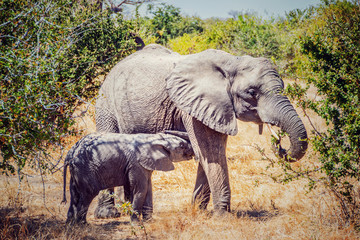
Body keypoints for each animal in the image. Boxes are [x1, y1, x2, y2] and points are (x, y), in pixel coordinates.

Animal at [61, 130, 194, 224]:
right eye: (182, 145)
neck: (153, 139)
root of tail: (69, 154)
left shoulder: (145, 165)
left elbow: (148, 189)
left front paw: (149, 222)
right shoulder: (136, 164)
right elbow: (140, 190)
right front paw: (136, 224)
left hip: (77, 171)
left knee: (74, 194)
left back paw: (70, 224)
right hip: (84, 168)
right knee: (88, 193)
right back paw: (82, 224)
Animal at [93, 43, 306, 218]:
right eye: (252, 93)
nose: (279, 142)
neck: (231, 62)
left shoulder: (215, 108)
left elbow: (211, 153)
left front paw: (198, 211)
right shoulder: (194, 105)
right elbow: (210, 152)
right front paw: (223, 217)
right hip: (106, 104)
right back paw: (108, 214)